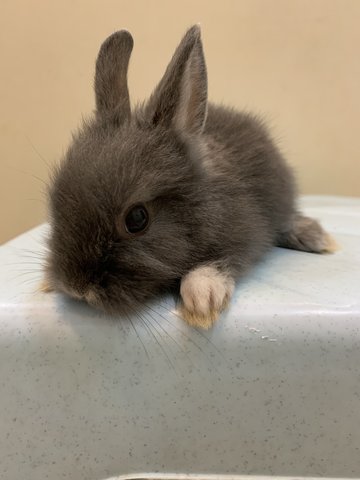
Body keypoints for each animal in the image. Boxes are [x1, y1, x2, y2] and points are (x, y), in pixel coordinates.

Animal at [45, 24, 338, 328]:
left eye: (137, 219)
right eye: (55, 202)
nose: (77, 288)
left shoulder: (245, 230)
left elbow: (220, 260)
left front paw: (202, 301)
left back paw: (318, 239)